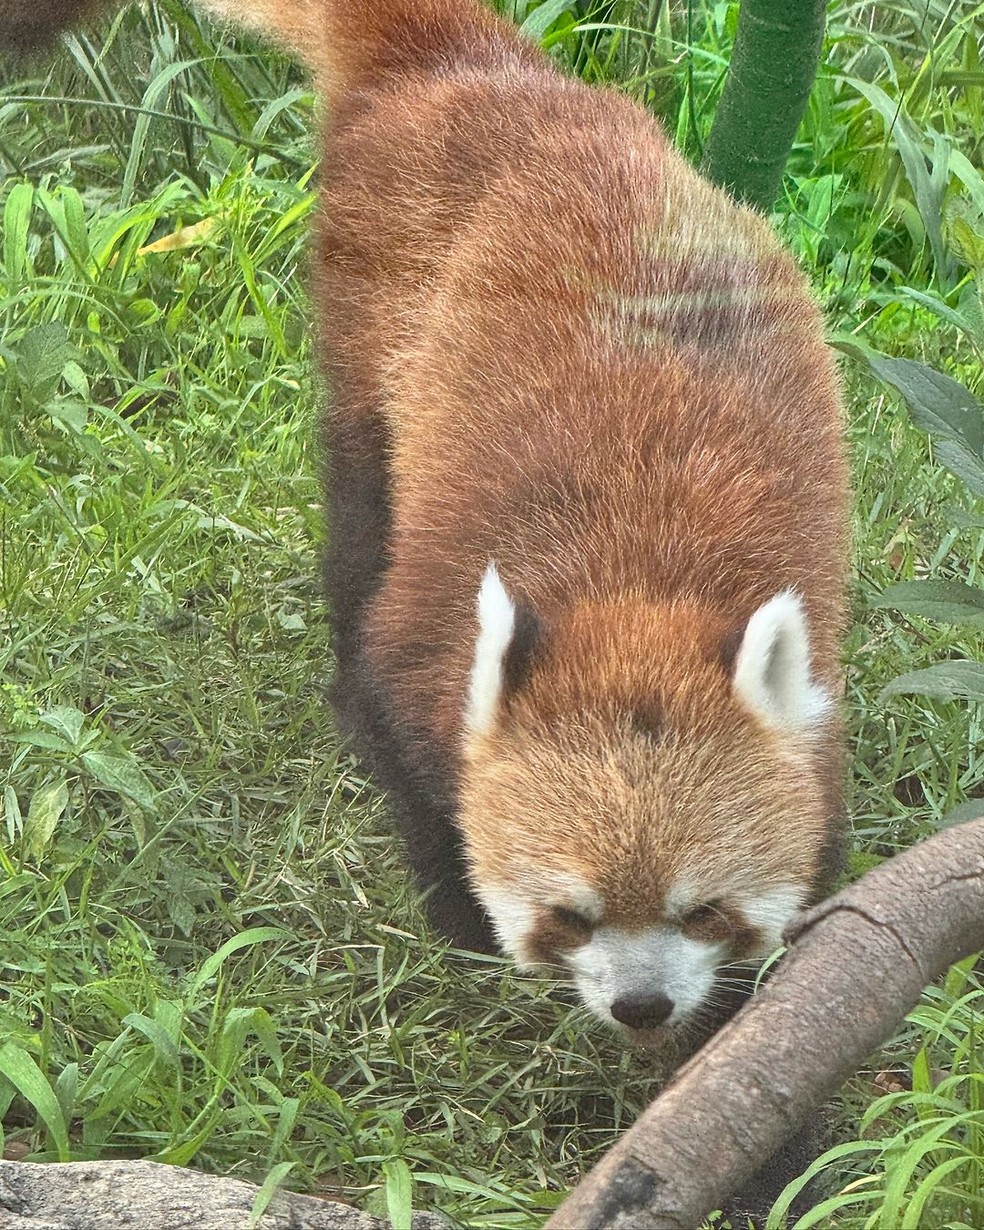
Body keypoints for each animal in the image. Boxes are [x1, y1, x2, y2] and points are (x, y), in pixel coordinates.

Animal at [7, 0, 851, 1047]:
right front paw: (461, 910)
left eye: (703, 910)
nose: (641, 1005)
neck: (639, 583)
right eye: (570, 915)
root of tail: (475, 68)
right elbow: (397, 720)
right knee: (359, 512)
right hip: (368, 321)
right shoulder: (439, 609)